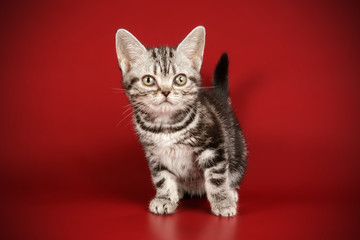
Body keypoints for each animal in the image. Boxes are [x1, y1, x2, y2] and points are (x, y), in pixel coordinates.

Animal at [115, 26, 248, 218]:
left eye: (180, 79)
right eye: (148, 80)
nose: (165, 92)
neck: (166, 126)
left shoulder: (213, 147)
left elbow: (216, 177)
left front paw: (222, 202)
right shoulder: (155, 155)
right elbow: (162, 178)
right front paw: (164, 198)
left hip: (239, 150)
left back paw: (230, 192)